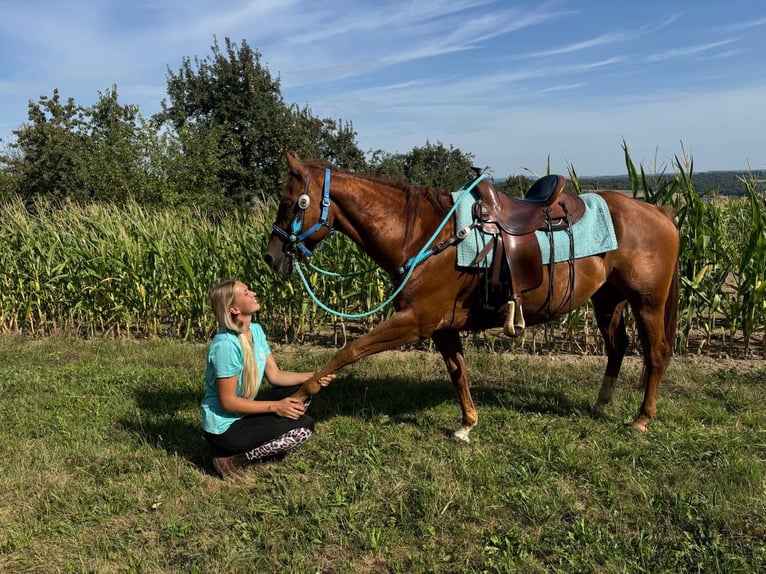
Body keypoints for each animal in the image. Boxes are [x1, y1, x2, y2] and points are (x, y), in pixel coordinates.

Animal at [264, 152, 680, 442]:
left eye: (289, 203)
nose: (270, 256)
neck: (423, 235)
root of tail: (659, 210)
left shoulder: (415, 321)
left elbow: (350, 349)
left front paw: (300, 396)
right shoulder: (441, 326)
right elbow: (458, 371)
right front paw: (466, 424)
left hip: (647, 302)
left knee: (656, 353)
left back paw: (641, 419)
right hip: (607, 299)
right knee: (617, 346)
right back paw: (601, 403)